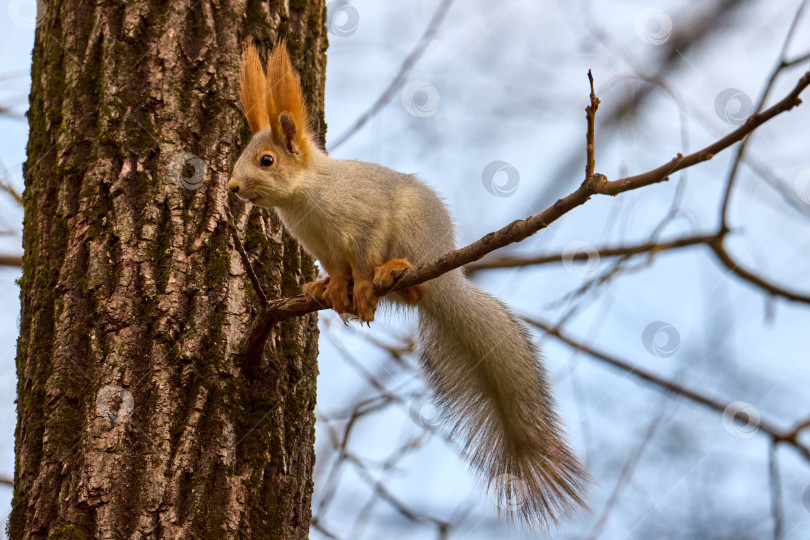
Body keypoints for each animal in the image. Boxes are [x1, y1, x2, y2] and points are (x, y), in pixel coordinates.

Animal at [227, 41, 588, 528]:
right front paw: (330, 289)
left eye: (266, 161)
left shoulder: (363, 224)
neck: (305, 197)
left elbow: (361, 260)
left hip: (414, 234)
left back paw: (394, 271)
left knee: (411, 283)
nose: (232, 187)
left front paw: (362, 288)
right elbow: (337, 270)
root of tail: (447, 280)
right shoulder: (324, 248)